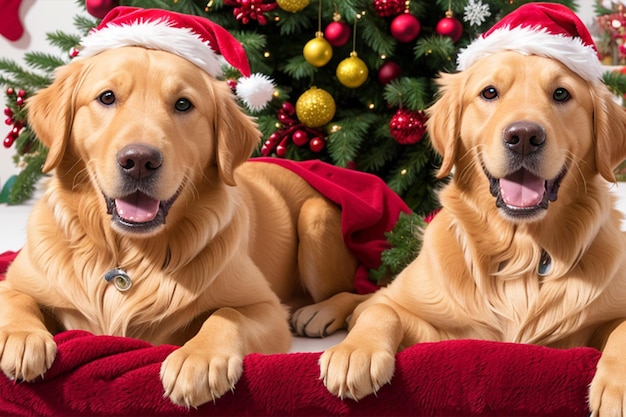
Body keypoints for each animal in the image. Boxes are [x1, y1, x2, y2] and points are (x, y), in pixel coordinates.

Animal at [322, 4, 626, 416]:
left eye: (562, 93)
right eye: (490, 92)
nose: (524, 136)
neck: (522, 253)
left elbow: (622, 329)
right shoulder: (422, 318)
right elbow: (381, 309)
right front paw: (354, 352)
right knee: (365, 298)